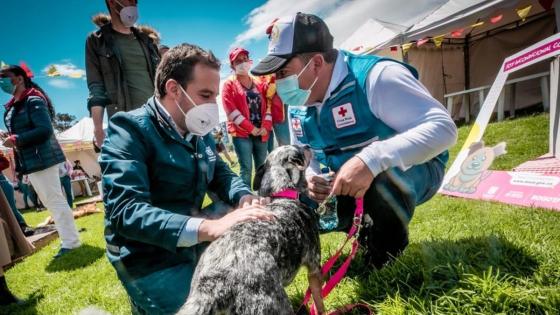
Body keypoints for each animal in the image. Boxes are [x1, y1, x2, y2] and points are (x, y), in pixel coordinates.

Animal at [179, 146, 326, 315]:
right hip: (278, 305)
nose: (308, 146)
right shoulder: (314, 267)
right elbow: (319, 302)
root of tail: (213, 284)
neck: (283, 195)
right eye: (299, 151)